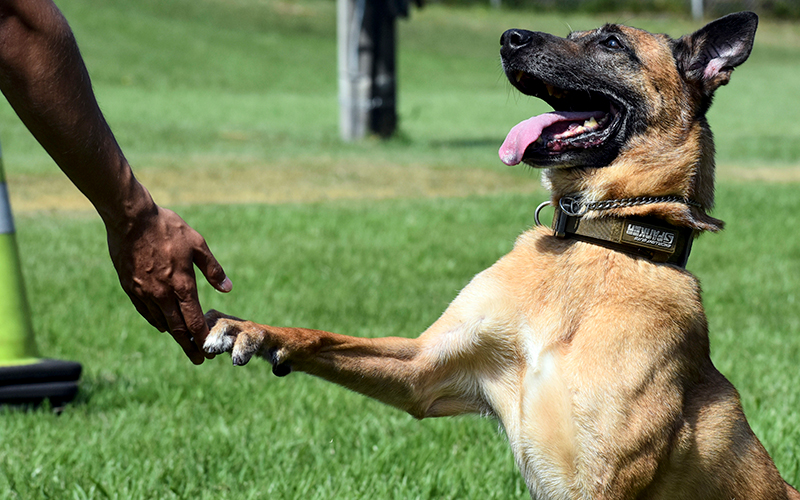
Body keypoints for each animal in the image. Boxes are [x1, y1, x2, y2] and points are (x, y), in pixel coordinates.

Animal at [203, 12, 796, 500]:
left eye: (611, 42)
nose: (510, 38)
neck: (593, 242)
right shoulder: (426, 369)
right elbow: (322, 337)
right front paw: (253, 330)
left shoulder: (601, 478)